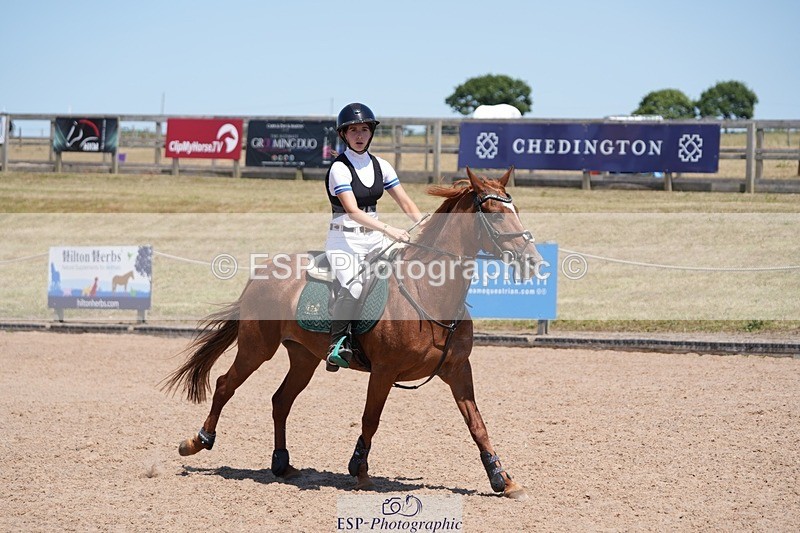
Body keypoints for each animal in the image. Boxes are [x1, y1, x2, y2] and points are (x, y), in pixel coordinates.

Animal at [163, 167, 543, 499]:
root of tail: (261, 273)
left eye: (515, 209)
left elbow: (477, 424)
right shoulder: (384, 371)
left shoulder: (458, 370)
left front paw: (503, 479)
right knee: (225, 385)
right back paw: (197, 441)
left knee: (281, 400)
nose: (534, 261)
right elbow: (370, 419)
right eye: (495, 214)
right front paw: (359, 470)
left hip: (303, 357)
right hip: (257, 348)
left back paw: (282, 464)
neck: (429, 293)